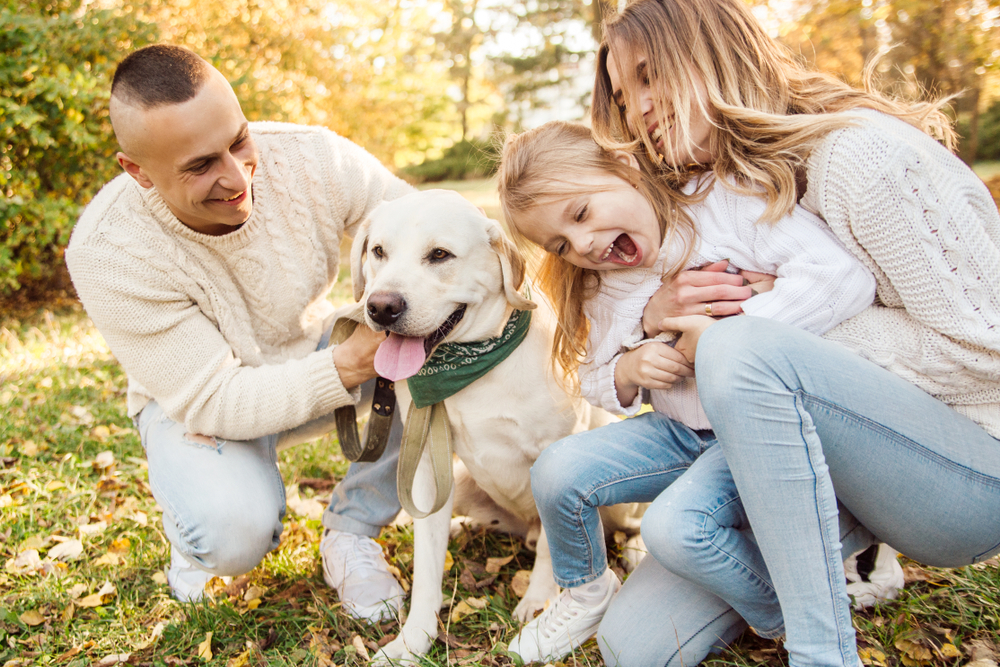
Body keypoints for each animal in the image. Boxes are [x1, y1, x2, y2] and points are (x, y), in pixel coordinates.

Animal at [348, 188, 636, 664]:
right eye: (379, 252)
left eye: (440, 255)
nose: (381, 306)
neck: (471, 366)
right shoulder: (427, 466)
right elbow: (427, 568)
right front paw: (412, 640)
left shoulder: (554, 453)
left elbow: (553, 553)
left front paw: (539, 602)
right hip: (461, 480)